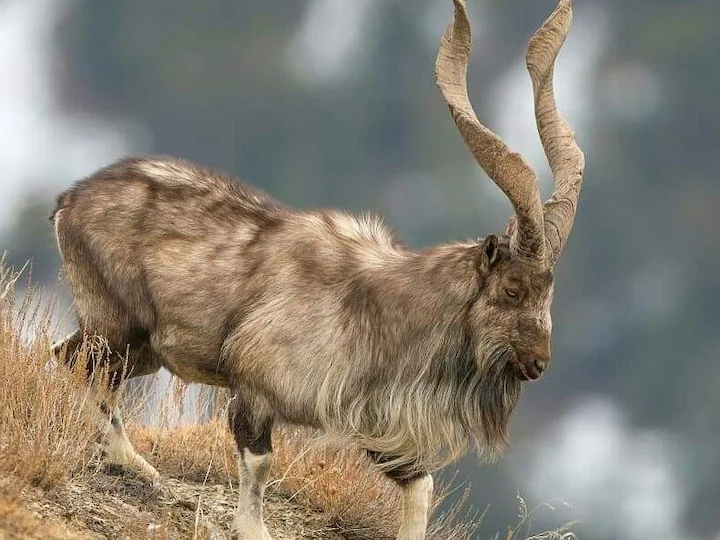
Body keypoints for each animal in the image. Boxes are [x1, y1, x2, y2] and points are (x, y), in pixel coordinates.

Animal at [49, 0, 585, 538]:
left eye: (550, 289)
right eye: (513, 289)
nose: (538, 363)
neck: (381, 307)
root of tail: (69, 201)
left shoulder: (372, 422)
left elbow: (420, 483)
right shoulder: (255, 389)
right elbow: (259, 464)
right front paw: (252, 527)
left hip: (145, 350)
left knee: (66, 358)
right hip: (115, 325)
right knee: (81, 366)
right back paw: (132, 463)